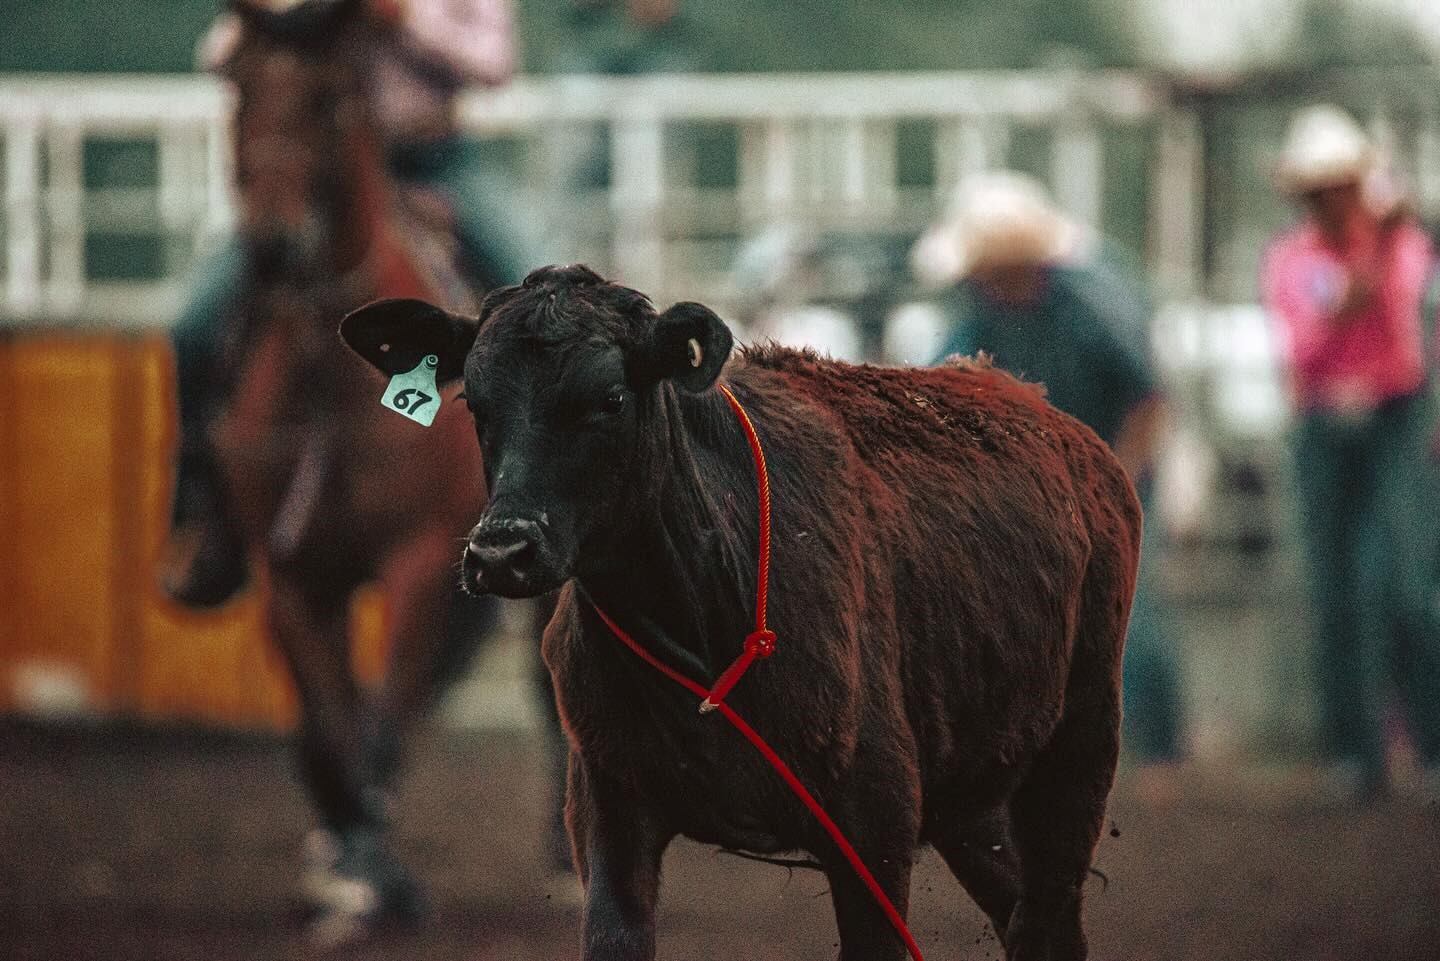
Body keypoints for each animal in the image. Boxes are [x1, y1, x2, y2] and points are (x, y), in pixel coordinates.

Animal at [339, 264, 1142, 961]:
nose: (501, 551)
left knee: (1048, 922)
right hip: (975, 796)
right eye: (474, 402)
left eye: (610, 398)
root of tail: (1061, 425)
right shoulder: (607, 806)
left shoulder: (873, 826)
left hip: (1080, 746)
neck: (698, 609)